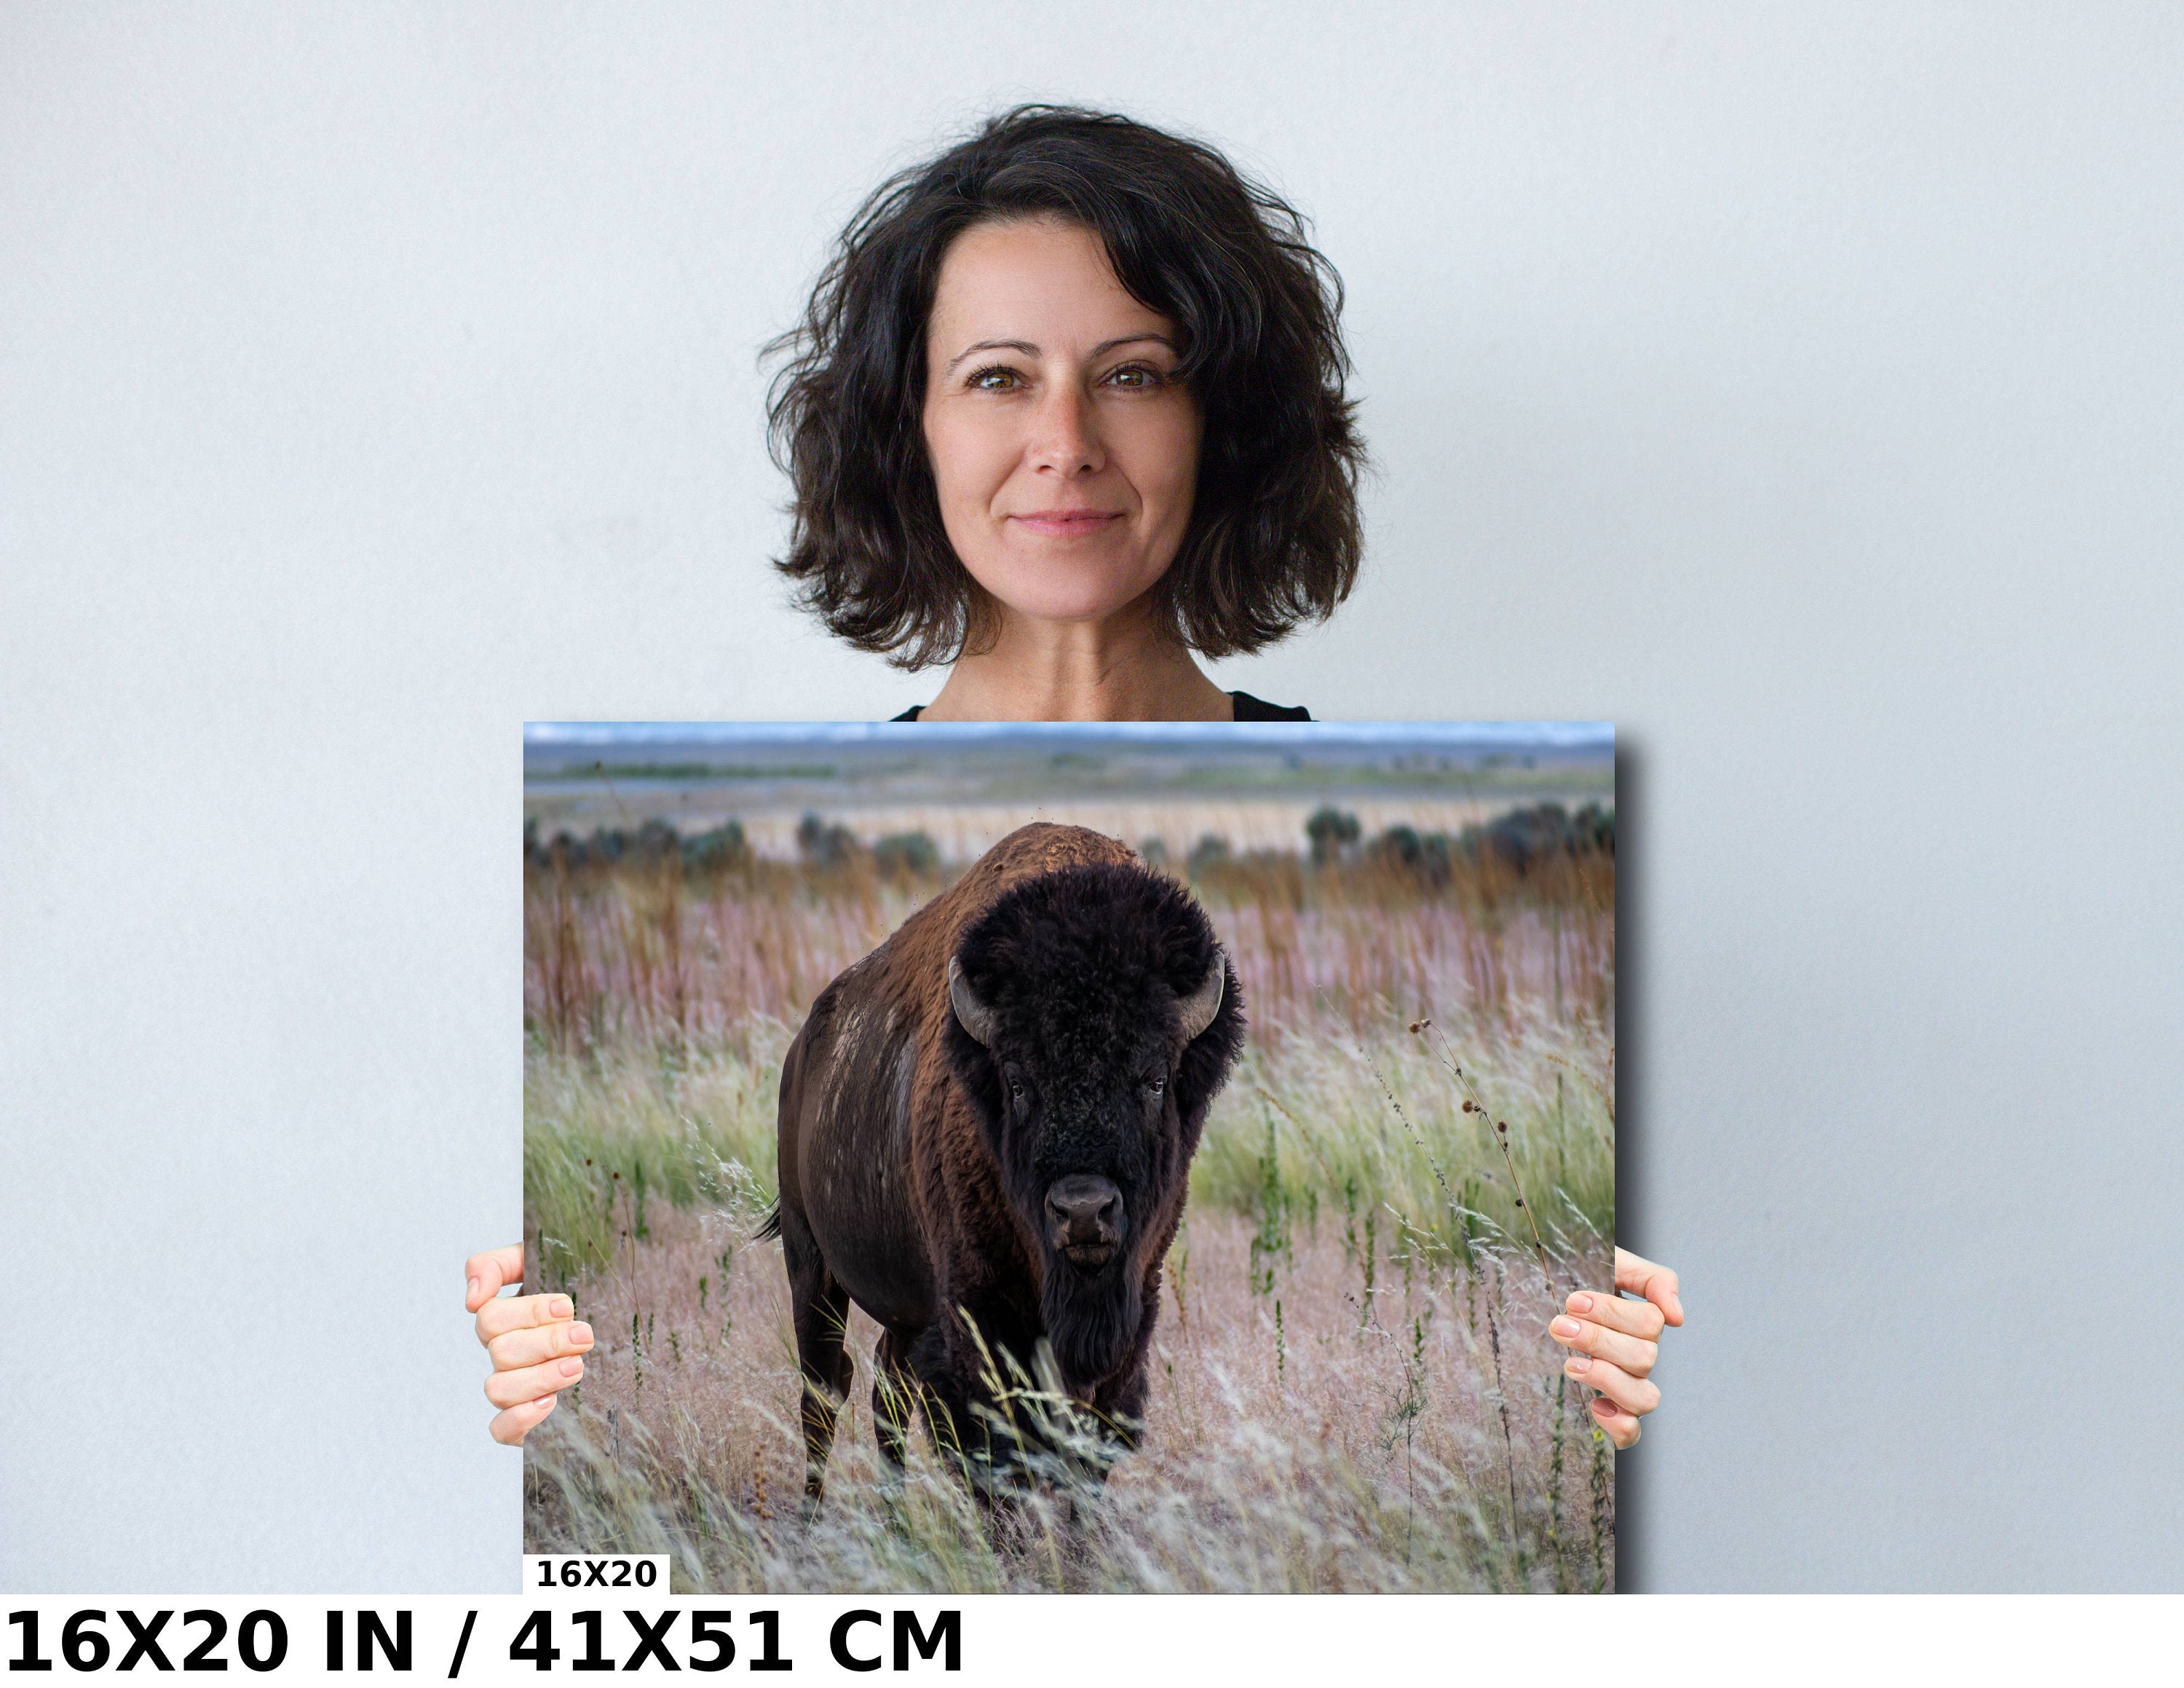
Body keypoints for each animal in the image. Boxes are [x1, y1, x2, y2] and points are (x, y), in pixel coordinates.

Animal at [761, 821, 1245, 1501]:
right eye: (1018, 1083)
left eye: (1155, 1080)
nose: (1084, 1212)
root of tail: (803, 1051)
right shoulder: (976, 1317)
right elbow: (990, 1445)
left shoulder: (1131, 1306)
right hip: (811, 1265)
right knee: (824, 1392)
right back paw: (814, 1514)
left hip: (904, 1303)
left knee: (887, 1387)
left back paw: (895, 1513)